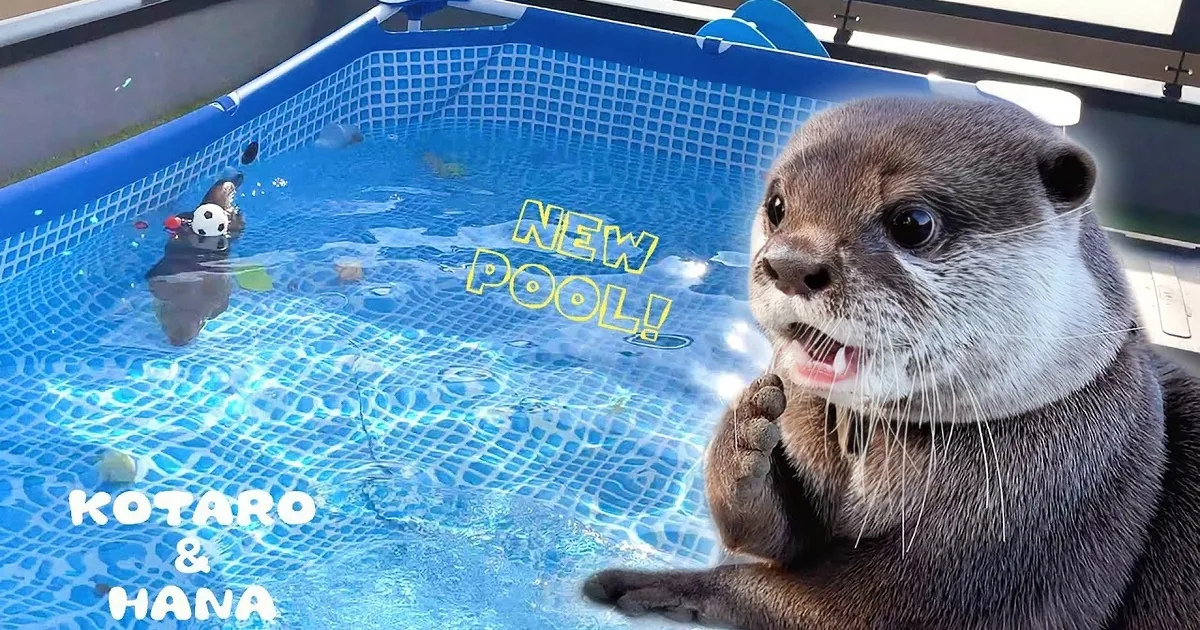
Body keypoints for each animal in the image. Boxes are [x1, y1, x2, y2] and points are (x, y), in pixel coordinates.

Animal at [583, 96, 1200, 629]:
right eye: (777, 206)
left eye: (913, 222)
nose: (790, 264)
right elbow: (786, 538)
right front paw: (743, 429)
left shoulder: (1037, 522)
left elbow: (825, 600)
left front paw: (647, 585)